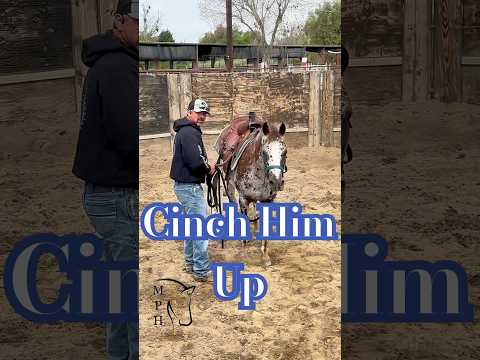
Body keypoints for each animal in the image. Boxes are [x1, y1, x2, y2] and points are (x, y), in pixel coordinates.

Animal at [224, 121, 286, 264]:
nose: (276, 181)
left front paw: (265, 256)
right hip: (231, 190)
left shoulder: (268, 200)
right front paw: (243, 254)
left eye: (284, 152)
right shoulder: (243, 199)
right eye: (264, 152)